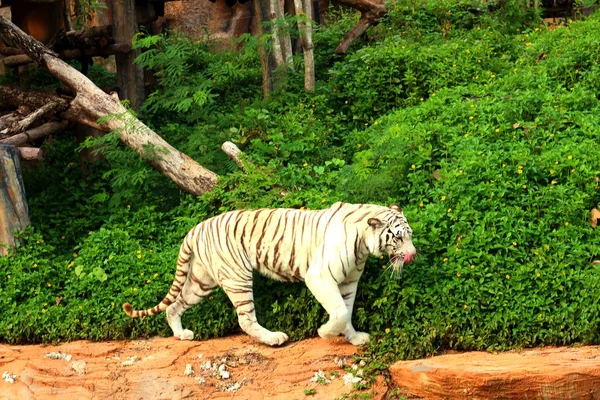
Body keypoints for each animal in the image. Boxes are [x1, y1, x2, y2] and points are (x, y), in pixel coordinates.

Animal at [123, 203, 418, 346]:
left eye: (410, 235)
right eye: (398, 238)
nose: (413, 254)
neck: (363, 246)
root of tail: (196, 228)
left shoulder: (348, 282)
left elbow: (346, 311)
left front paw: (354, 338)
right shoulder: (320, 276)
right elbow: (339, 312)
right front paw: (325, 333)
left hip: (201, 281)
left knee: (174, 306)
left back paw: (181, 334)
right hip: (237, 276)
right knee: (245, 319)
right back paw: (274, 338)